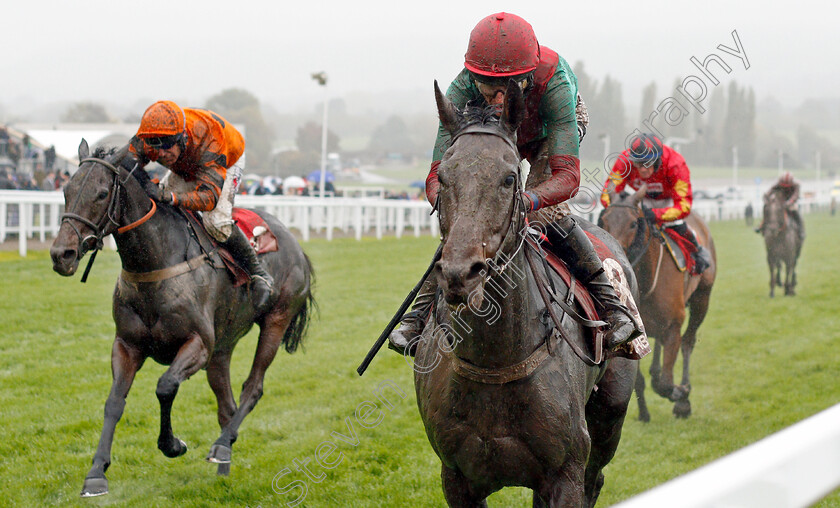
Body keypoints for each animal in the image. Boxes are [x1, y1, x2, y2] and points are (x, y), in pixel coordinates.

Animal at [50, 141, 316, 498]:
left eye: (102, 193)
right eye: (66, 190)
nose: (61, 254)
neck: (155, 262)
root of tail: (296, 244)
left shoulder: (198, 345)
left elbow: (165, 386)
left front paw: (173, 444)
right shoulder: (127, 345)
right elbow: (114, 402)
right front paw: (95, 474)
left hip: (276, 320)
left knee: (253, 388)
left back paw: (220, 446)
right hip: (222, 348)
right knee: (227, 406)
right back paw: (223, 465)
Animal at [416, 81, 640, 508]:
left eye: (508, 179)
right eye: (445, 178)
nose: (460, 274)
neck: (495, 361)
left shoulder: (566, 473)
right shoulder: (455, 477)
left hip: (610, 413)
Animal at [596, 189, 716, 418]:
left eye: (634, 223)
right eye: (604, 220)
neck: (646, 281)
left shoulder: (673, 327)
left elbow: (666, 384)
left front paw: (681, 395)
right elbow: (639, 381)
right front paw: (644, 413)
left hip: (702, 299)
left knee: (688, 342)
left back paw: (684, 393)